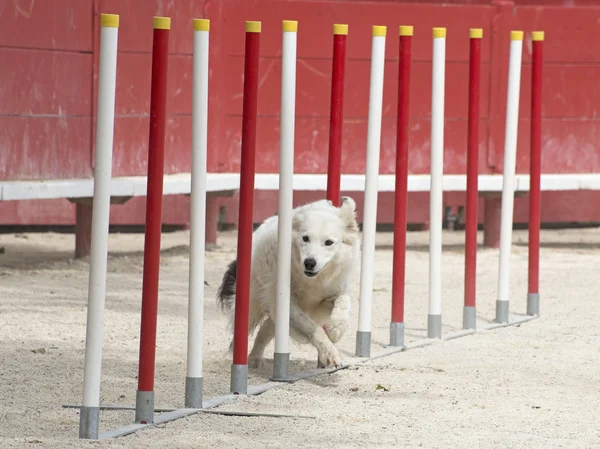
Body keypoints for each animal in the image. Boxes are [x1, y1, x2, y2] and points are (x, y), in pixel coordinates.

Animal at [219, 196, 364, 368]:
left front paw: (336, 327)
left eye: (329, 242)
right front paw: (330, 353)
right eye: (305, 238)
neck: (311, 280)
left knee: (264, 330)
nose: (309, 263)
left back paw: (255, 357)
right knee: (241, 329)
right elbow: (312, 328)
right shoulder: (289, 305)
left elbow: (344, 300)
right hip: (253, 303)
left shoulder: (326, 297)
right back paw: (230, 358)